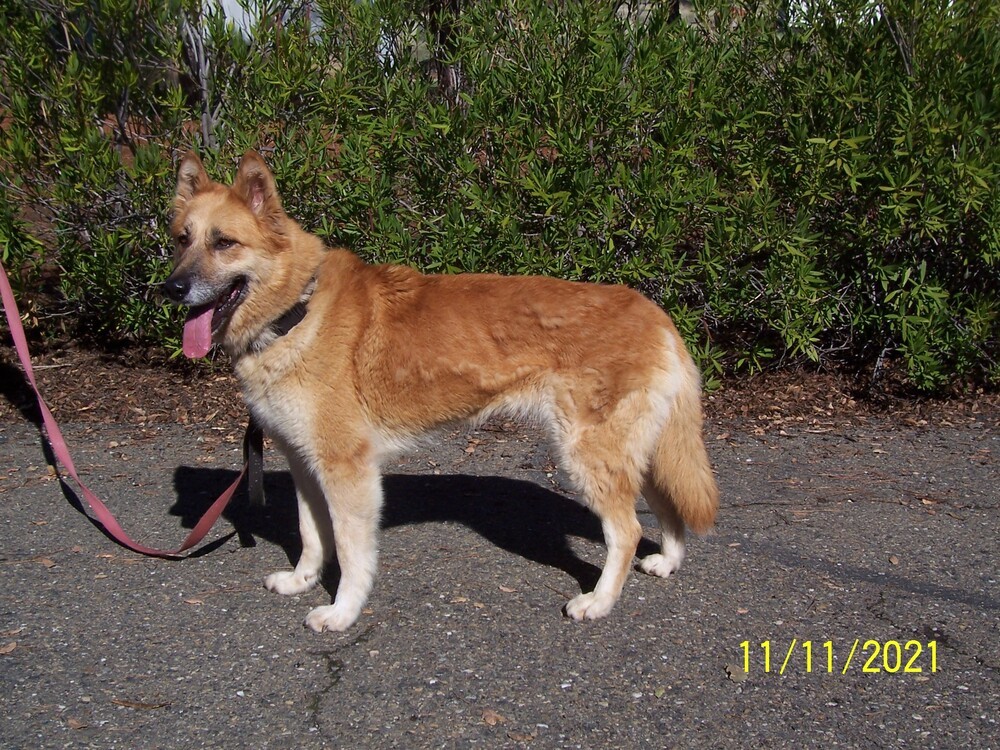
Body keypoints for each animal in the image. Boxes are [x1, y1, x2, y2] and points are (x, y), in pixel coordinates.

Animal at [164, 153, 720, 636]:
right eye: (182, 240)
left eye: (224, 243)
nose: (170, 289)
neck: (296, 311)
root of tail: (656, 312)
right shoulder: (305, 465)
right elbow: (311, 537)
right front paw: (302, 581)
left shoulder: (348, 472)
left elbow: (350, 553)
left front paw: (343, 612)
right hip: (640, 454)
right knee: (668, 510)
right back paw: (667, 562)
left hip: (588, 456)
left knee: (625, 532)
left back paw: (599, 602)